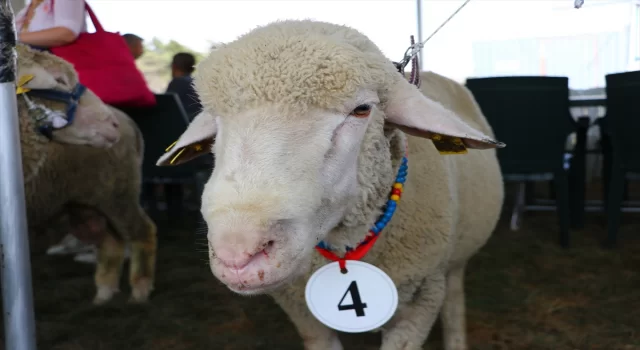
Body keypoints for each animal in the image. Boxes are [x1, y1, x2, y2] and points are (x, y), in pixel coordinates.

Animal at [156, 20, 504, 350]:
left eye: (362, 109)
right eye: (214, 118)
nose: (238, 254)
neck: (349, 250)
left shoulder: (421, 299)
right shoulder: (302, 309)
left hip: (453, 262)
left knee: (454, 303)